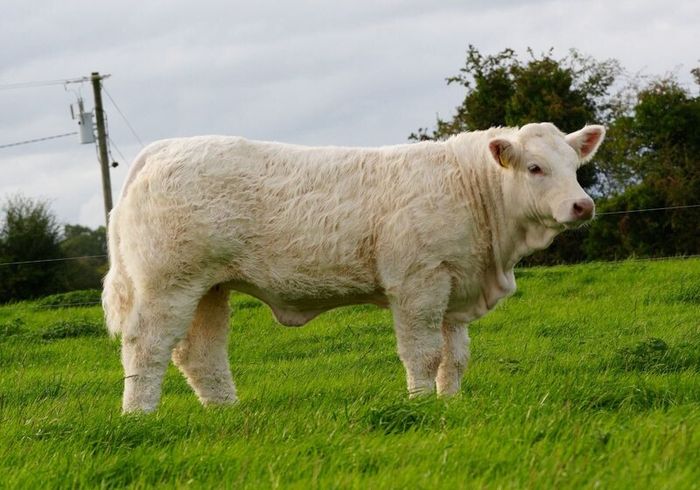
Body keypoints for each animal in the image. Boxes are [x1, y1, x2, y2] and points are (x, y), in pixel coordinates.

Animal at [102, 122, 604, 413]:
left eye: (575, 164)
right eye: (535, 168)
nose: (582, 205)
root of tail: (166, 147)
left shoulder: (454, 287)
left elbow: (456, 357)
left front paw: (450, 402)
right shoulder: (418, 283)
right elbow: (425, 354)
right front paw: (422, 405)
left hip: (210, 287)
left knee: (200, 353)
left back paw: (227, 412)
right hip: (168, 284)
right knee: (146, 347)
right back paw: (139, 416)